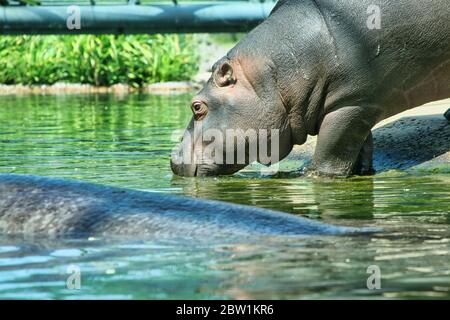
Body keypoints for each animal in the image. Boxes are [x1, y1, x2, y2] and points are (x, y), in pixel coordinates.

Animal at [170, 0, 450, 178]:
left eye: (197, 107)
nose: (172, 159)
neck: (273, 75)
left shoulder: (352, 102)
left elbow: (331, 150)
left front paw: (310, 174)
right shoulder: (358, 105)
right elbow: (360, 145)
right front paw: (362, 171)